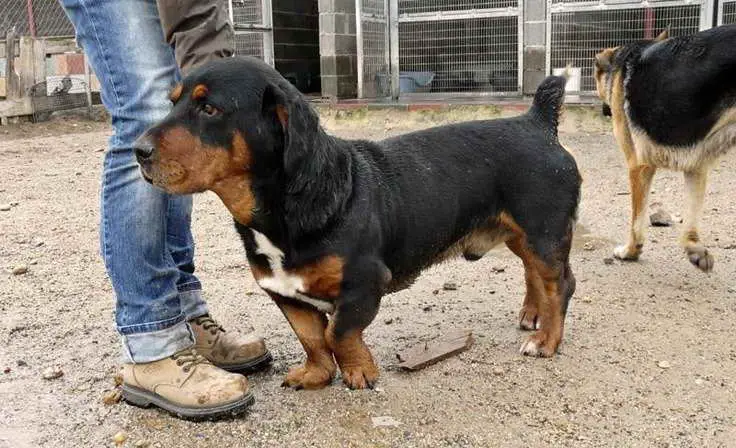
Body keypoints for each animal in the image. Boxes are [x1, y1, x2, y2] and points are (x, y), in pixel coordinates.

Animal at [131, 57, 580, 388]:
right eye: (172, 102)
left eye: (209, 108)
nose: (137, 151)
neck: (289, 206)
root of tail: (537, 122)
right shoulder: (285, 294)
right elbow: (312, 338)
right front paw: (316, 374)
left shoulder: (364, 283)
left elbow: (338, 333)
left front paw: (359, 370)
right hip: (525, 237)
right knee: (535, 275)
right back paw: (533, 316)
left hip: (543, 234)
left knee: (560, 284)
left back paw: (546, 340)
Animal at [596, 25, 732, 272]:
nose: (604, 110)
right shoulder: (696, 167)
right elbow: (691, 216)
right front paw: (694, 249)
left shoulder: (638, 166)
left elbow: (637, 220)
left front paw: (630, 252)